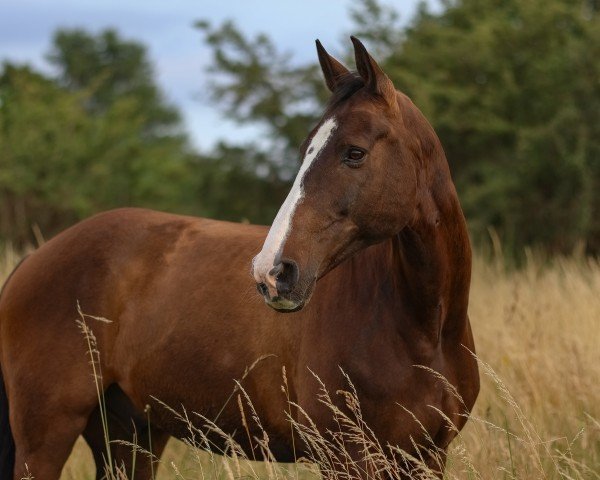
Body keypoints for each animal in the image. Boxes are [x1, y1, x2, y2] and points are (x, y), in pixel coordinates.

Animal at [0, 38, 478, 480]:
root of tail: (31, 261)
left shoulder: (427, 457)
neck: (420, 326)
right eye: (306, 150)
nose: (273, 272)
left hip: (131, 437)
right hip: (48, 435)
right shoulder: (348, 459)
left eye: (355, 152)